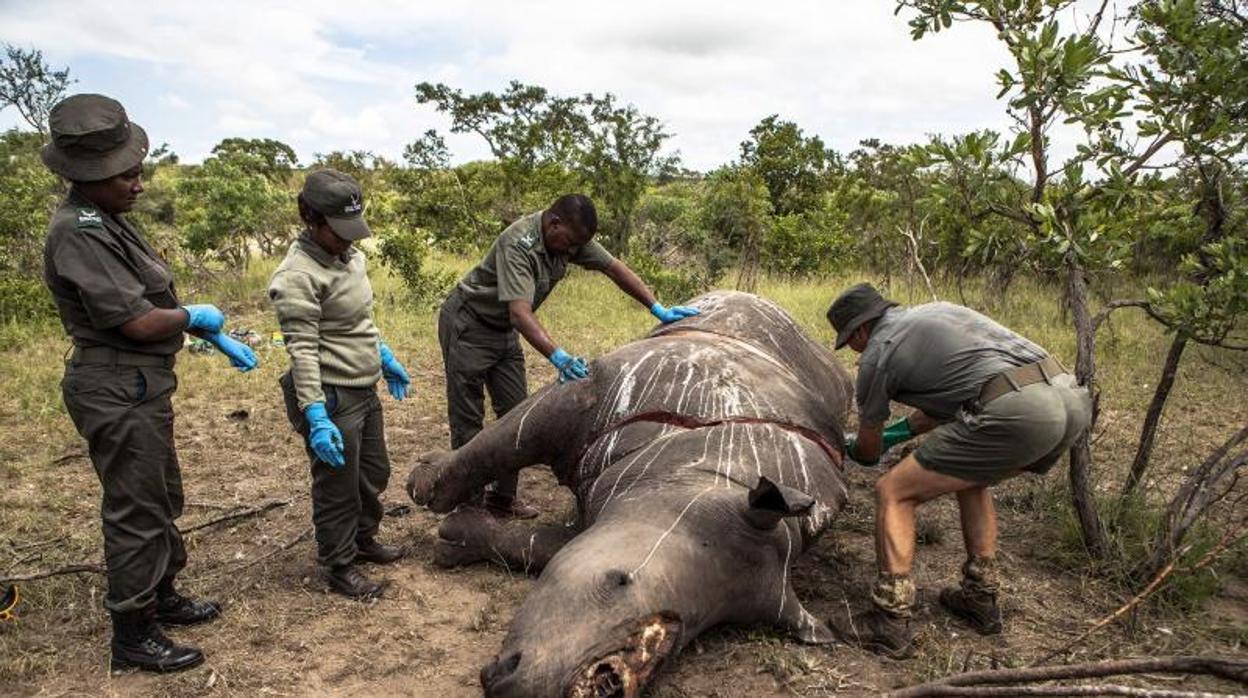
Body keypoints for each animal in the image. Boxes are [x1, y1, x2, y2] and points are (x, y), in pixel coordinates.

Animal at [404, 290, 853, 698]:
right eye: (618, 580)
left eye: (695, 628)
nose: (608, 680)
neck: (696, 472)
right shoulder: (595, 385)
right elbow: (506, 438)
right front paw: (425, 488)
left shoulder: (606, 506)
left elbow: (538, 546)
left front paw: (456, 537)